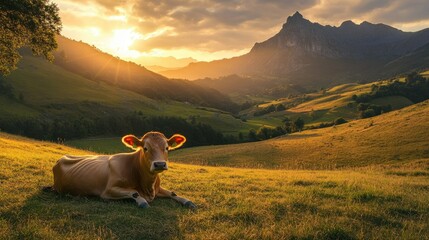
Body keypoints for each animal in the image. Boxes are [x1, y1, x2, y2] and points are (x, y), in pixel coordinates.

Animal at [51, 132, 196, 209]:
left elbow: (173, 193)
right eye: (145, 148)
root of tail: (63, 157)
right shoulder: (108, 191)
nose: (159, 164)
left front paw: (188, 201)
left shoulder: (157, 188)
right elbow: (134, 192)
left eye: (167, 148)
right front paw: (142, 202)